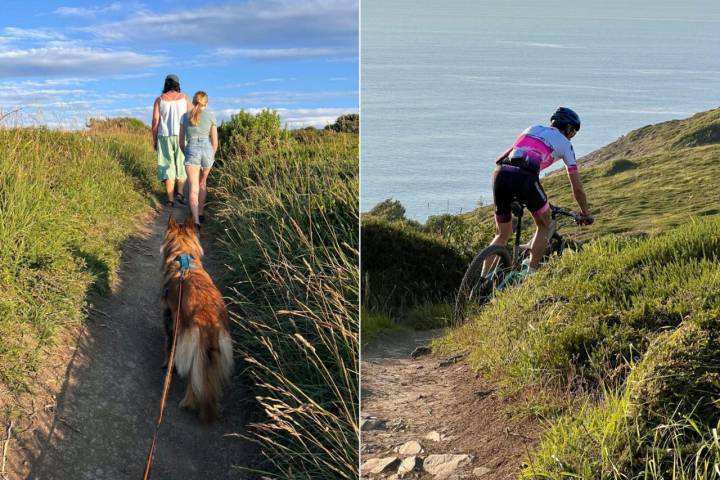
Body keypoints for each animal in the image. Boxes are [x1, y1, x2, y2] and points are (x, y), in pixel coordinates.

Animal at [160, 214, 233, 420]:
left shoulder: (169, 316)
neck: (183, 256)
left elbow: (168, 343)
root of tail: (210, 320)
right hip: (215, 353)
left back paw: (189, 403)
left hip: (191, 346)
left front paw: (166, 364)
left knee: (194, 379)